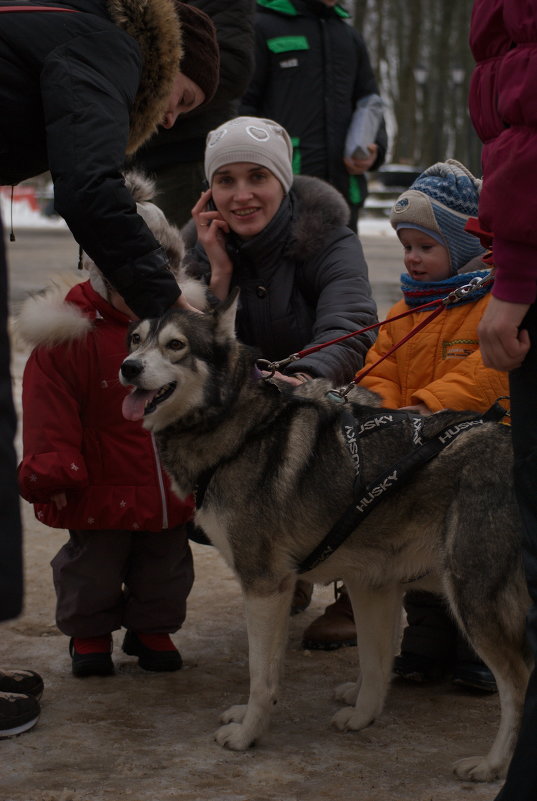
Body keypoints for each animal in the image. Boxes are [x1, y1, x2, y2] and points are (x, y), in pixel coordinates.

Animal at [120, 290, 528, 780]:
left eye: (176, 345)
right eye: (136, 340)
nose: (128, 368)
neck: (242, 427)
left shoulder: (264, 585)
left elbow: (261, 674)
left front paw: (248, 734)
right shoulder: (371, 583)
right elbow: (370, 661)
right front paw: (362, 714)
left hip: (473, 597)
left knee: (518, 685)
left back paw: (492, 764)